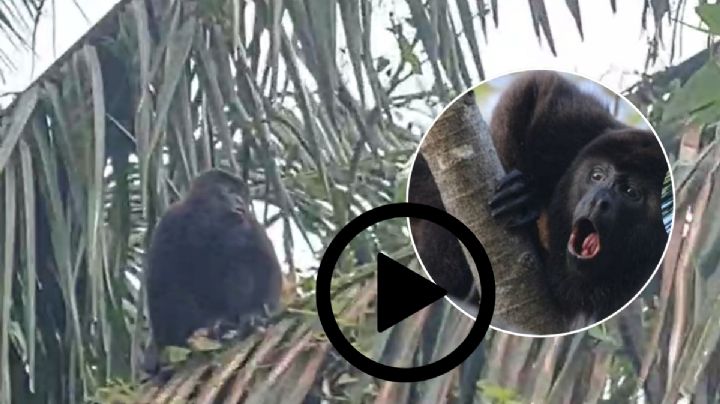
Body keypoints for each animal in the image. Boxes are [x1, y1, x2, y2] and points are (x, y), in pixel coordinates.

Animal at [146, 168, 282, 351]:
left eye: (240, 194)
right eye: (230, 190)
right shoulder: (169, 222)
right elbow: (160, 282)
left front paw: (254, 314)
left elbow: (268, 268)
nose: (240, 201)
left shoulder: (252, 226)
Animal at [410, 71, 669, 325]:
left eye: (631, 193)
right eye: (597, 175)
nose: (599, 201)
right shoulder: (583, 125)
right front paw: (523, 198)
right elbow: (536, 88)